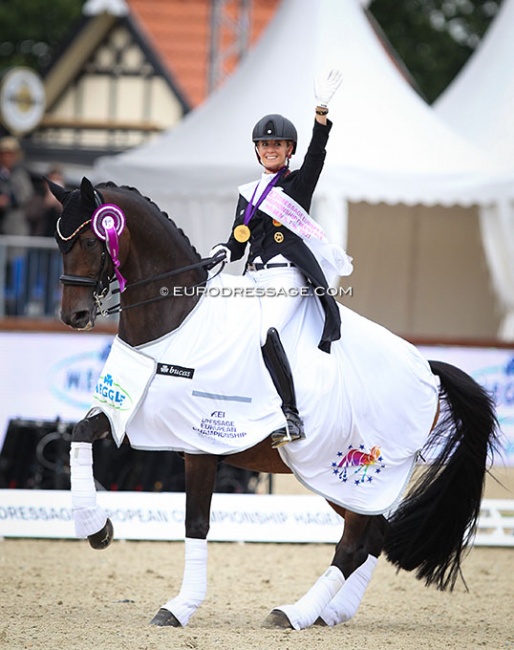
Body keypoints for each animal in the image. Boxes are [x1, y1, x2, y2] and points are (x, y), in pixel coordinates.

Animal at [49, 176, 496, 628]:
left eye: (90, 240)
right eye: (59, 242)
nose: (74, 316)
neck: (177, 323)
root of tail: (428, 367)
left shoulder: (201, 443)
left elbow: (196, 522)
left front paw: (178, 607)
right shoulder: (131, 417)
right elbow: (80, 432)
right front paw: (97, 529)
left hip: (356, 472)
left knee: (355, 543)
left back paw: (294, 613)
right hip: (337, 482)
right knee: (375, 535)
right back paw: (331, 612)